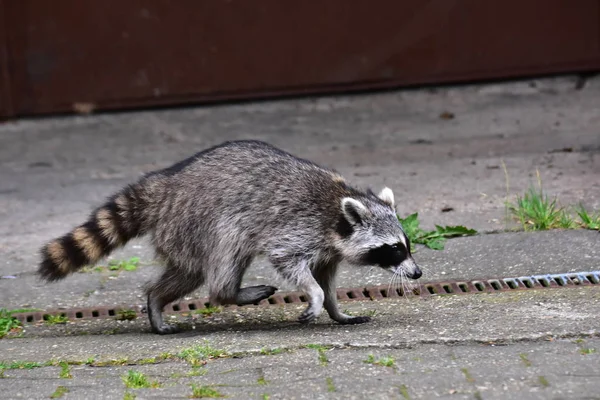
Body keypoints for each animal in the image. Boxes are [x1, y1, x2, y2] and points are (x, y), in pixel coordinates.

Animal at [38, 141, 422, 334]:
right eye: (392, 250)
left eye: (406, 245)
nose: (417, 273)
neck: (337, 212)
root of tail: (164, 185)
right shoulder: (298, 229)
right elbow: (289, 262)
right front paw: (313, 296)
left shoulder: (329, 250)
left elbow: (327, 281)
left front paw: (335, 309)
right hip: (200, 221)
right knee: (218, 260)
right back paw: (215, 293)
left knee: (188, 271)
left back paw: (157, 300)